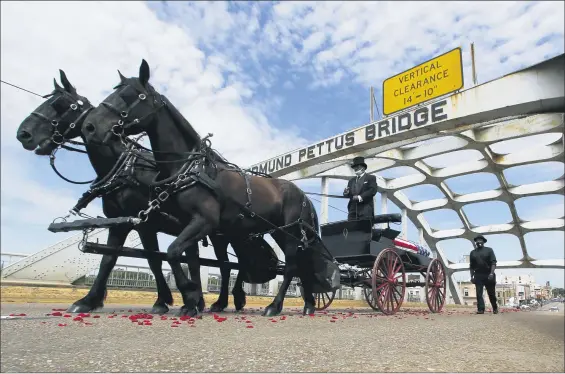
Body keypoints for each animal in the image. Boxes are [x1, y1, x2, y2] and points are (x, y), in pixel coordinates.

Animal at [14, 69, 249, 312]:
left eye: (60, 104)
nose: (23, 134)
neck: (124, 168)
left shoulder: (145, 224)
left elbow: (153, 259)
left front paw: (164, 300)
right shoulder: (119, 222)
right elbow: (109, 259)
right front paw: (88, 300)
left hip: (225, 234)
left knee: (230, 264)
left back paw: (226, 299)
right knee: (209, 261)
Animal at [81, 60, 324, 318]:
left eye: (131, 95)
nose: (90, 126)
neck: (189, 167)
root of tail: (305, 197)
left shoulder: (203, 221)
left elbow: (172, 252)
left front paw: (189, 294)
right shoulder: (182, 224)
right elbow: (182, 258)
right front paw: (193, 298)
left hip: (289, 232)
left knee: (291, 267)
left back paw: (274, 306)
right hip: (279, 232)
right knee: (298, 266)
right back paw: (308, 304)